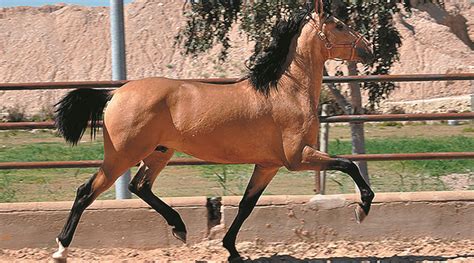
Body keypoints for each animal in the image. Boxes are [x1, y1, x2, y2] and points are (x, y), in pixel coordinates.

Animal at [51, 1, 374, 262]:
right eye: (339, 25)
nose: (368, 48)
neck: (286, 91)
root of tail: (115, 93)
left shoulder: (268, 165)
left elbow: (246, 205)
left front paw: (232, 250)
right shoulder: (298, 158)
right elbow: (348, 165)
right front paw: (362, 209)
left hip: (159, 153)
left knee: (139, 186)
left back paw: (179, 227)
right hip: (122, 155)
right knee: (86, 192)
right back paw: (60, 250)